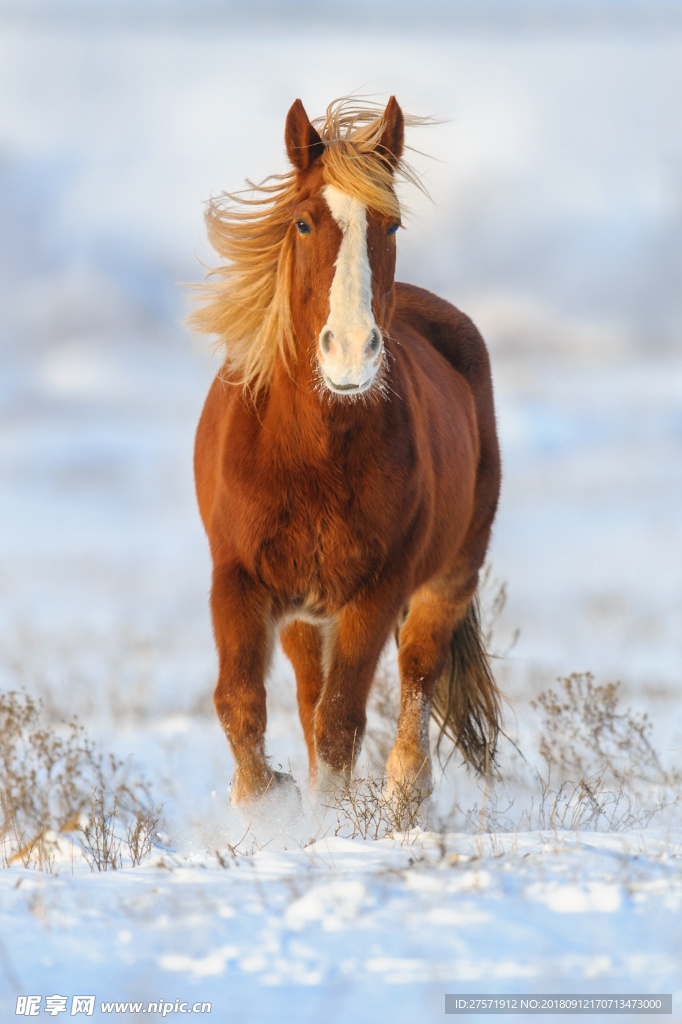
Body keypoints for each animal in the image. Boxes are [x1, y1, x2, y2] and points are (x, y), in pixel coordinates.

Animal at [189, 99, 499, 811]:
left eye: (391, 223)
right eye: (303, 221)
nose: (352, 352)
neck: (312, 455)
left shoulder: (375, 593)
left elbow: (340, 723)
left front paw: (321, 826)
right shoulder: (239, 580)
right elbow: (241, 704)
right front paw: (266, 808)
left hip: (448, 577)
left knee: (416, 676)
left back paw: (405, 792)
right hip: (305, 616)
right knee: (307, 698)